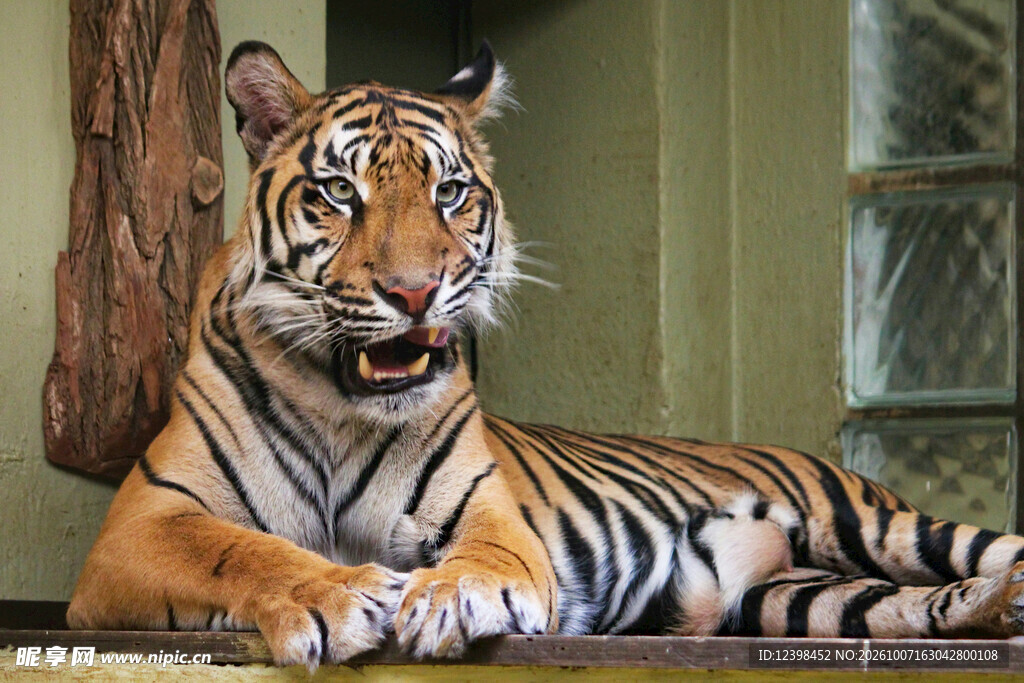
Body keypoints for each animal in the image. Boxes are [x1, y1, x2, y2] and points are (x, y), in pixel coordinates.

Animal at [67, 40, 1024, 668]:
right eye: (339, 191)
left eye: (451, 192)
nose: (414, 291)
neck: (343, 406)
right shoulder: (138, 525)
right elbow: (239, 548)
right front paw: (333, 593)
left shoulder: (489, 513)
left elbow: (484, 556)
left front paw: (451, 593)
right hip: (800, 596)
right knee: (905, 607)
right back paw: (989, 611)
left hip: (867, 520)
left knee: (978, 547)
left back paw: (1004, 590)